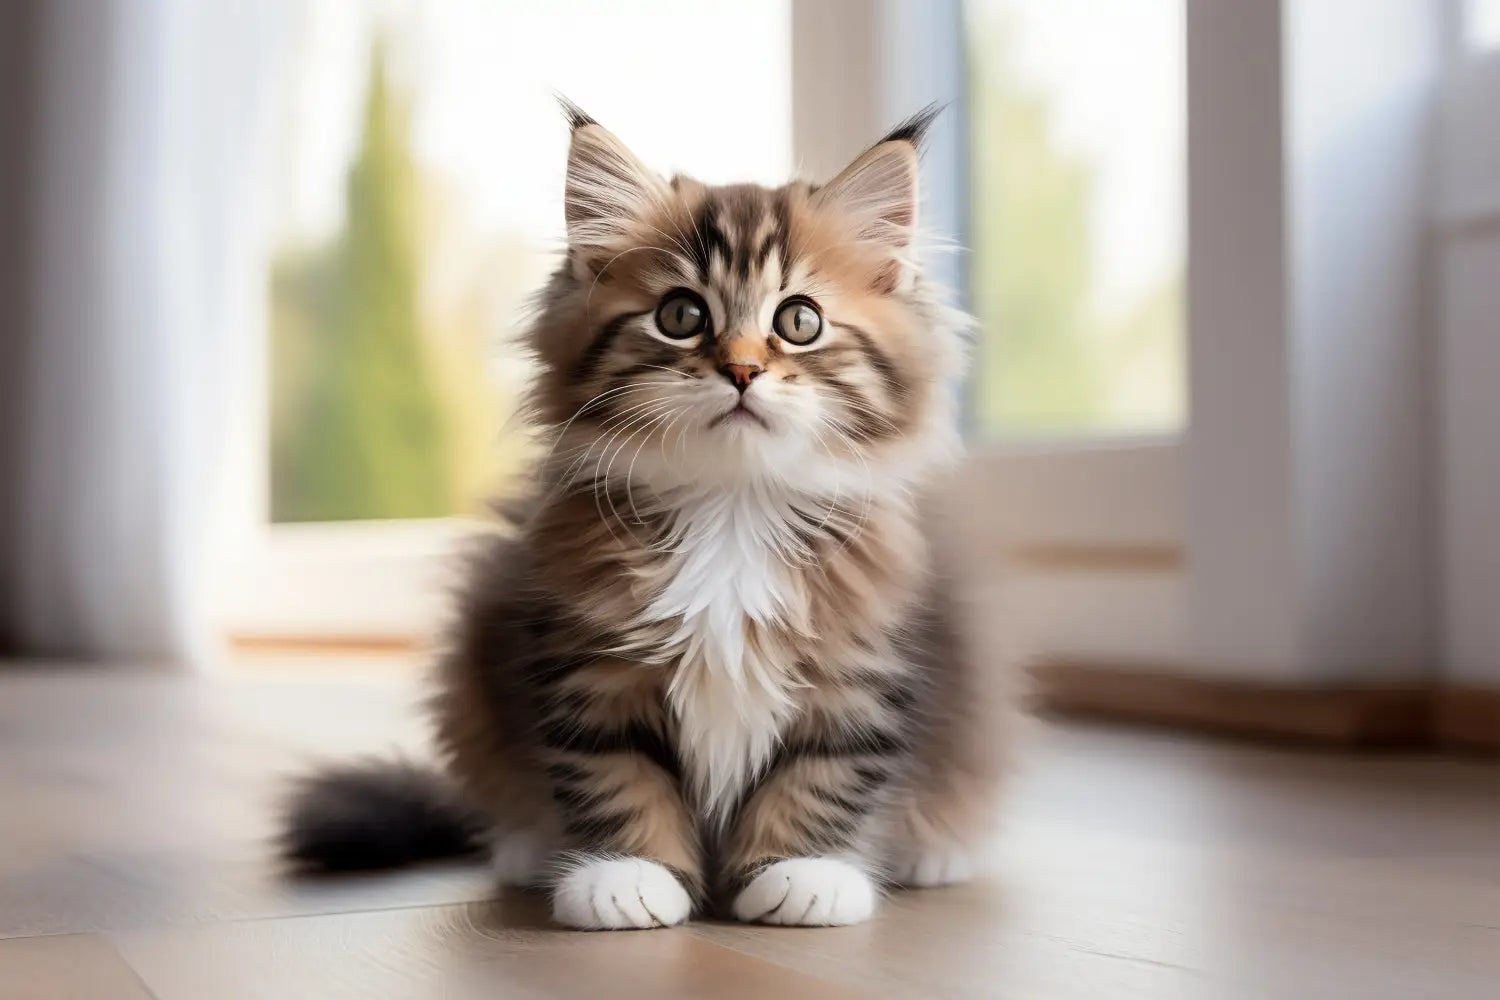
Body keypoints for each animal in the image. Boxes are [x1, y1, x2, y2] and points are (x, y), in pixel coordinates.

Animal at [280, 103, 1008, 929]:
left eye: (799, 321)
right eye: (681, 315)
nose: (742, 370)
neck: (732, 510)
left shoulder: (860, 672)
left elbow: (821, 779)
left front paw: (803, 873)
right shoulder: (589, 666)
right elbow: (617, 778)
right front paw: (626, 875)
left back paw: (934, 853)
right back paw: (529, 848)